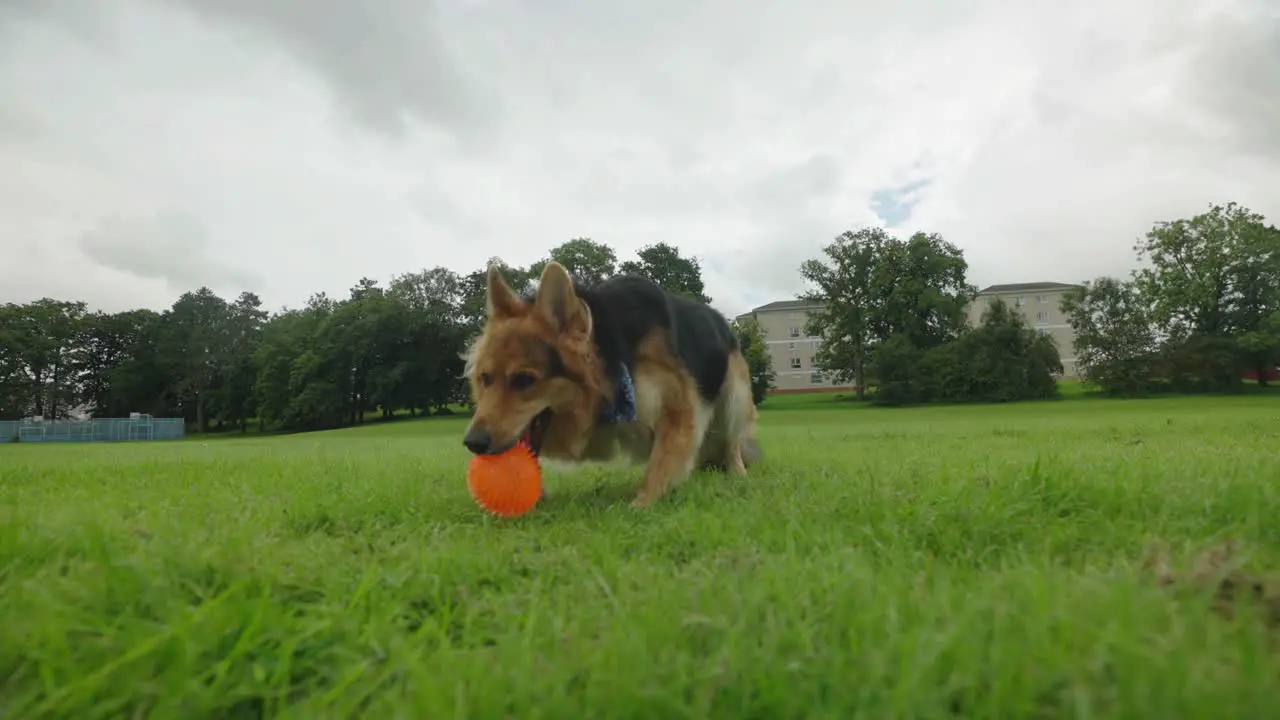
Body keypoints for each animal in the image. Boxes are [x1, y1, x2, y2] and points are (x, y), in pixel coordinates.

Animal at [460, 258, 757, 504]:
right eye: (485, 378)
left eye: (524, 380)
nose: (473, 443)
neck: (613, 362)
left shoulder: (678, 408)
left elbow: (660, 465)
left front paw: (641, 505)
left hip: (734, 399)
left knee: (731, 443)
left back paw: (738, 474)